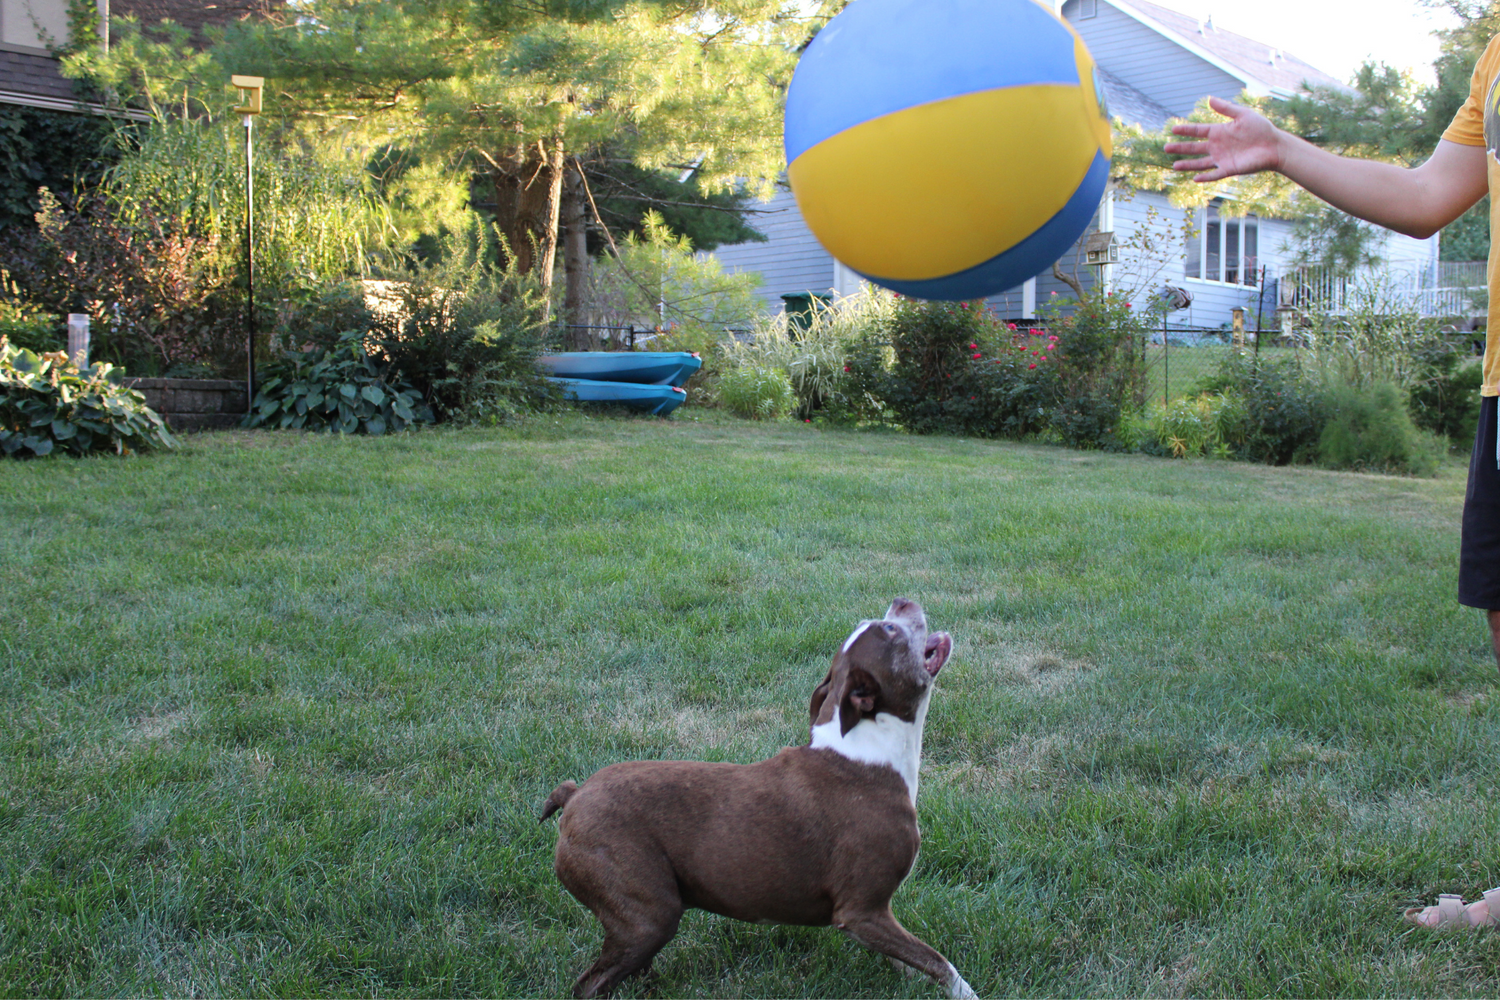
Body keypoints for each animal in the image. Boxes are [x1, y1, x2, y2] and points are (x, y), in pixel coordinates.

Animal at [540, 599, 972, 995]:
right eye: (891, 630)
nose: (901, 602)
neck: (865, 748)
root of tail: (575, 796)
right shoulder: (861, 911)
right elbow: (939, 963)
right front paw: (963, 991)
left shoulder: (875, 916)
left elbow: (909, 958)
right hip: (648, 917)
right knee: (590, 984)